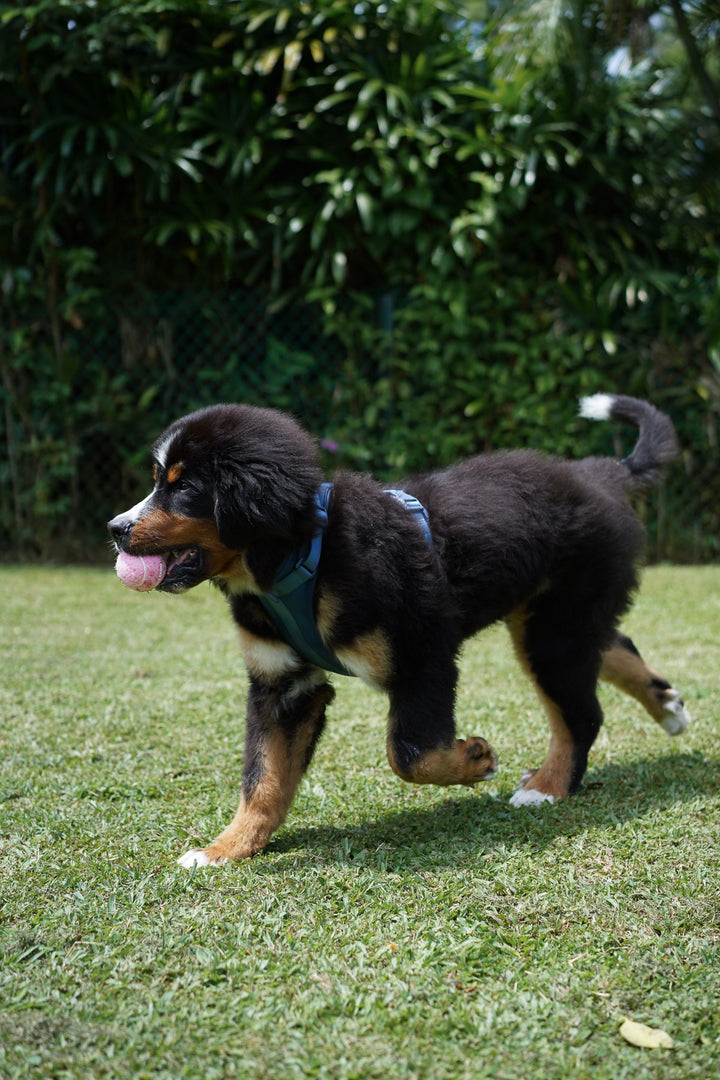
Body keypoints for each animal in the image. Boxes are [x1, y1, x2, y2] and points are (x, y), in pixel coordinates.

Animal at [110, 393, 690, 864]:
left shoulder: (423, 656)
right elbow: (263, 778)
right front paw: (226, 848)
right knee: (613, 647)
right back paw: (666, 706)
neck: (298, 560)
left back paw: (547, 787)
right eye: (158, 482)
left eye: (185, 488)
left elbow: (409, 754)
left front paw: (474, 759)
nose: (115, 528)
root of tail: (598, 473)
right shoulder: (282, 685)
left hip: (553, 630)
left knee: (581, 713)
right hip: (552, 620)